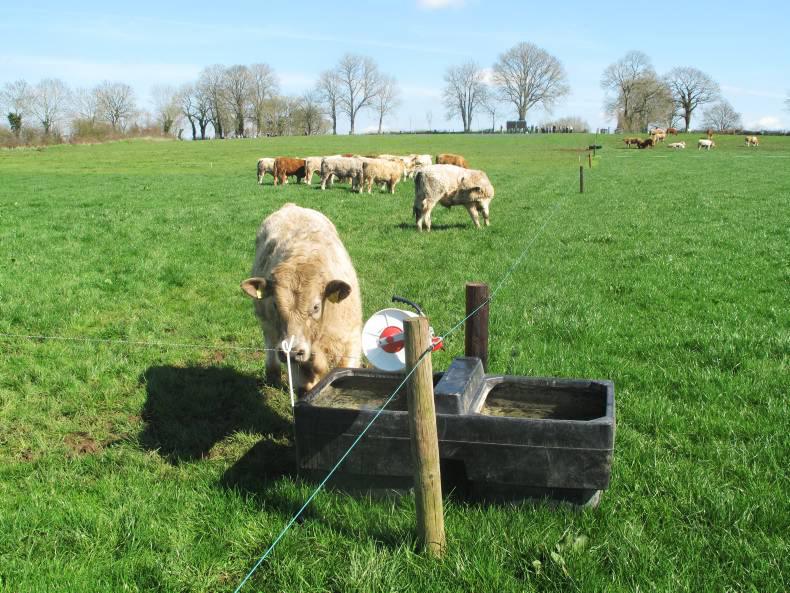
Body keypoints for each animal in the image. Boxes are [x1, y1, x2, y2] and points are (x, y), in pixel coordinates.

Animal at [240, 203, 363, 393]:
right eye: (275, 305)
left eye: (316, 307)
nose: (292, 351)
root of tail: (291, 206)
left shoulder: (351, 343)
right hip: (267, 325)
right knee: (270, 342)